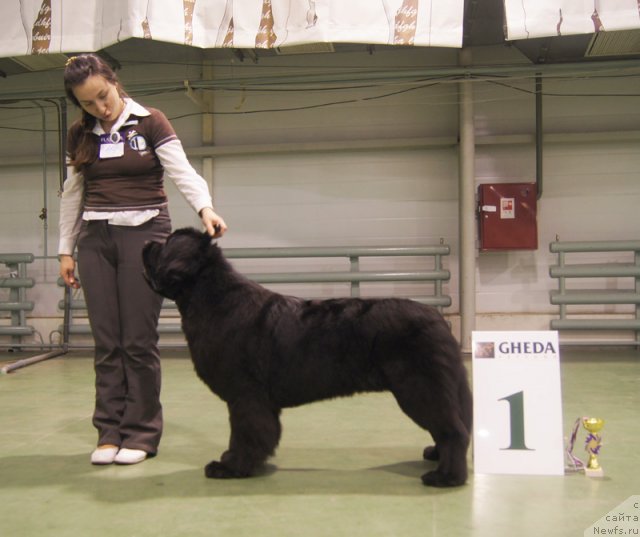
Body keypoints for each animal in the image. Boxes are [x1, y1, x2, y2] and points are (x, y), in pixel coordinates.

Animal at [142, 226, 472, 486]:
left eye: (166, 243)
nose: (146, 242)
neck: (212, 299)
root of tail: (438, 319)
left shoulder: (245, 396)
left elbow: (246, 433)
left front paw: (231, 466)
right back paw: (436, 456)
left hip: (419, 387)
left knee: (453, 430)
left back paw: (446, 477)